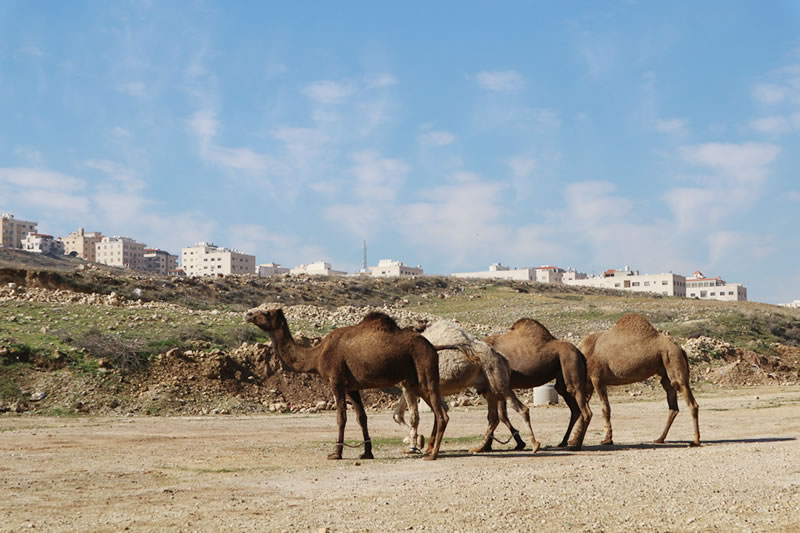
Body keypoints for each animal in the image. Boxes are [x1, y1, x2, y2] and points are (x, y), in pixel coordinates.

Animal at [244, 306, 450, 460]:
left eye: (266, 312)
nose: (248, 314)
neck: (316, 356)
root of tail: (433, 347)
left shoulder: (336, 381)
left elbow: (341, 417)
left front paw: (336, 453)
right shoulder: (352, 387)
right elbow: (362, 417)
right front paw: (367, 453)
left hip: (425, 369)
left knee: (441, 414)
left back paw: (432, 455)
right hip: (416, 381)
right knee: (440, 412)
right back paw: (428, 449)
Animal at [392, 320, 536, 454]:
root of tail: (503, 358)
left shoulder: (409, 386)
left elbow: (413, 418)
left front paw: (414, 446)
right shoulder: (410, 387)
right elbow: (398, 415)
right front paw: (420, 443)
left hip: (498, 382)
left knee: (520, 408)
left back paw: (534, 444)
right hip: (488, 387)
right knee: (493, 418)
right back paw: (479, 447)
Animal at [476, 318, 592, 450]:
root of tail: (580, 353)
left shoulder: (498, 385)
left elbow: (500, 415)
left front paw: (517, 443)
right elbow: (498, 415)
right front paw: (490, 445)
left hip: (571, 364)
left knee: (585, 410)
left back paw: (577, 445)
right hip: (562, 377)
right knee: (574, 408)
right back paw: (564, 442)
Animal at [576, 314, 700, 446]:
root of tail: (680, 348)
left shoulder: (597, 378)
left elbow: (605, 408)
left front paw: (607, 440)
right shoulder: (588, 382)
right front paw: (575, 438)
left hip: (673, 359)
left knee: (690, 401)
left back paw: (695, 440)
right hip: (665, 370)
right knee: (673, 405)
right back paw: (660, 439)